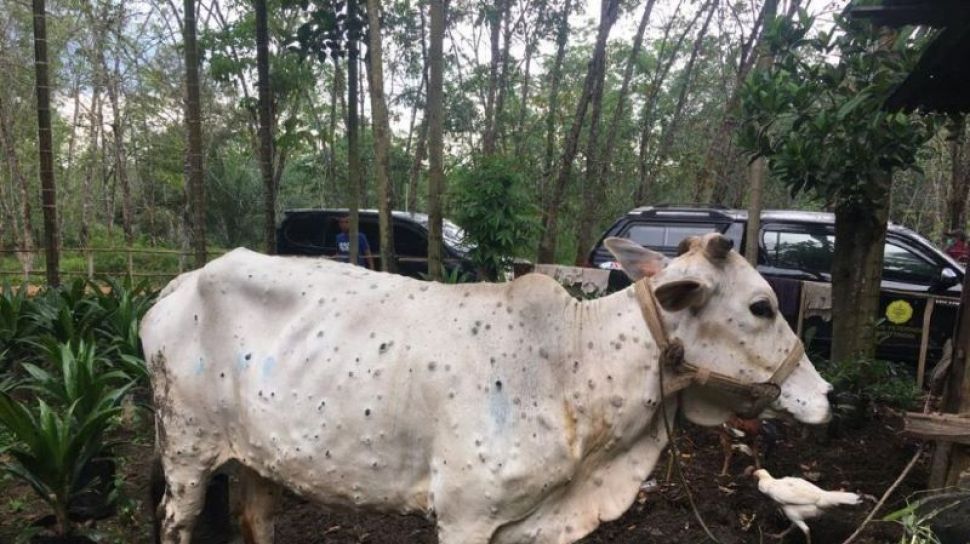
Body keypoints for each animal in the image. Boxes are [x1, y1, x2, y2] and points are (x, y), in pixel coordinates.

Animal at [140, 235, 828, 544]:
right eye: (762, 306)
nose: (825, 395)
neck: (572, 366)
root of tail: (176, 285)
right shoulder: (464, 516)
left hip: (257, 457)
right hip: (185, 452)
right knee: (177, 520)